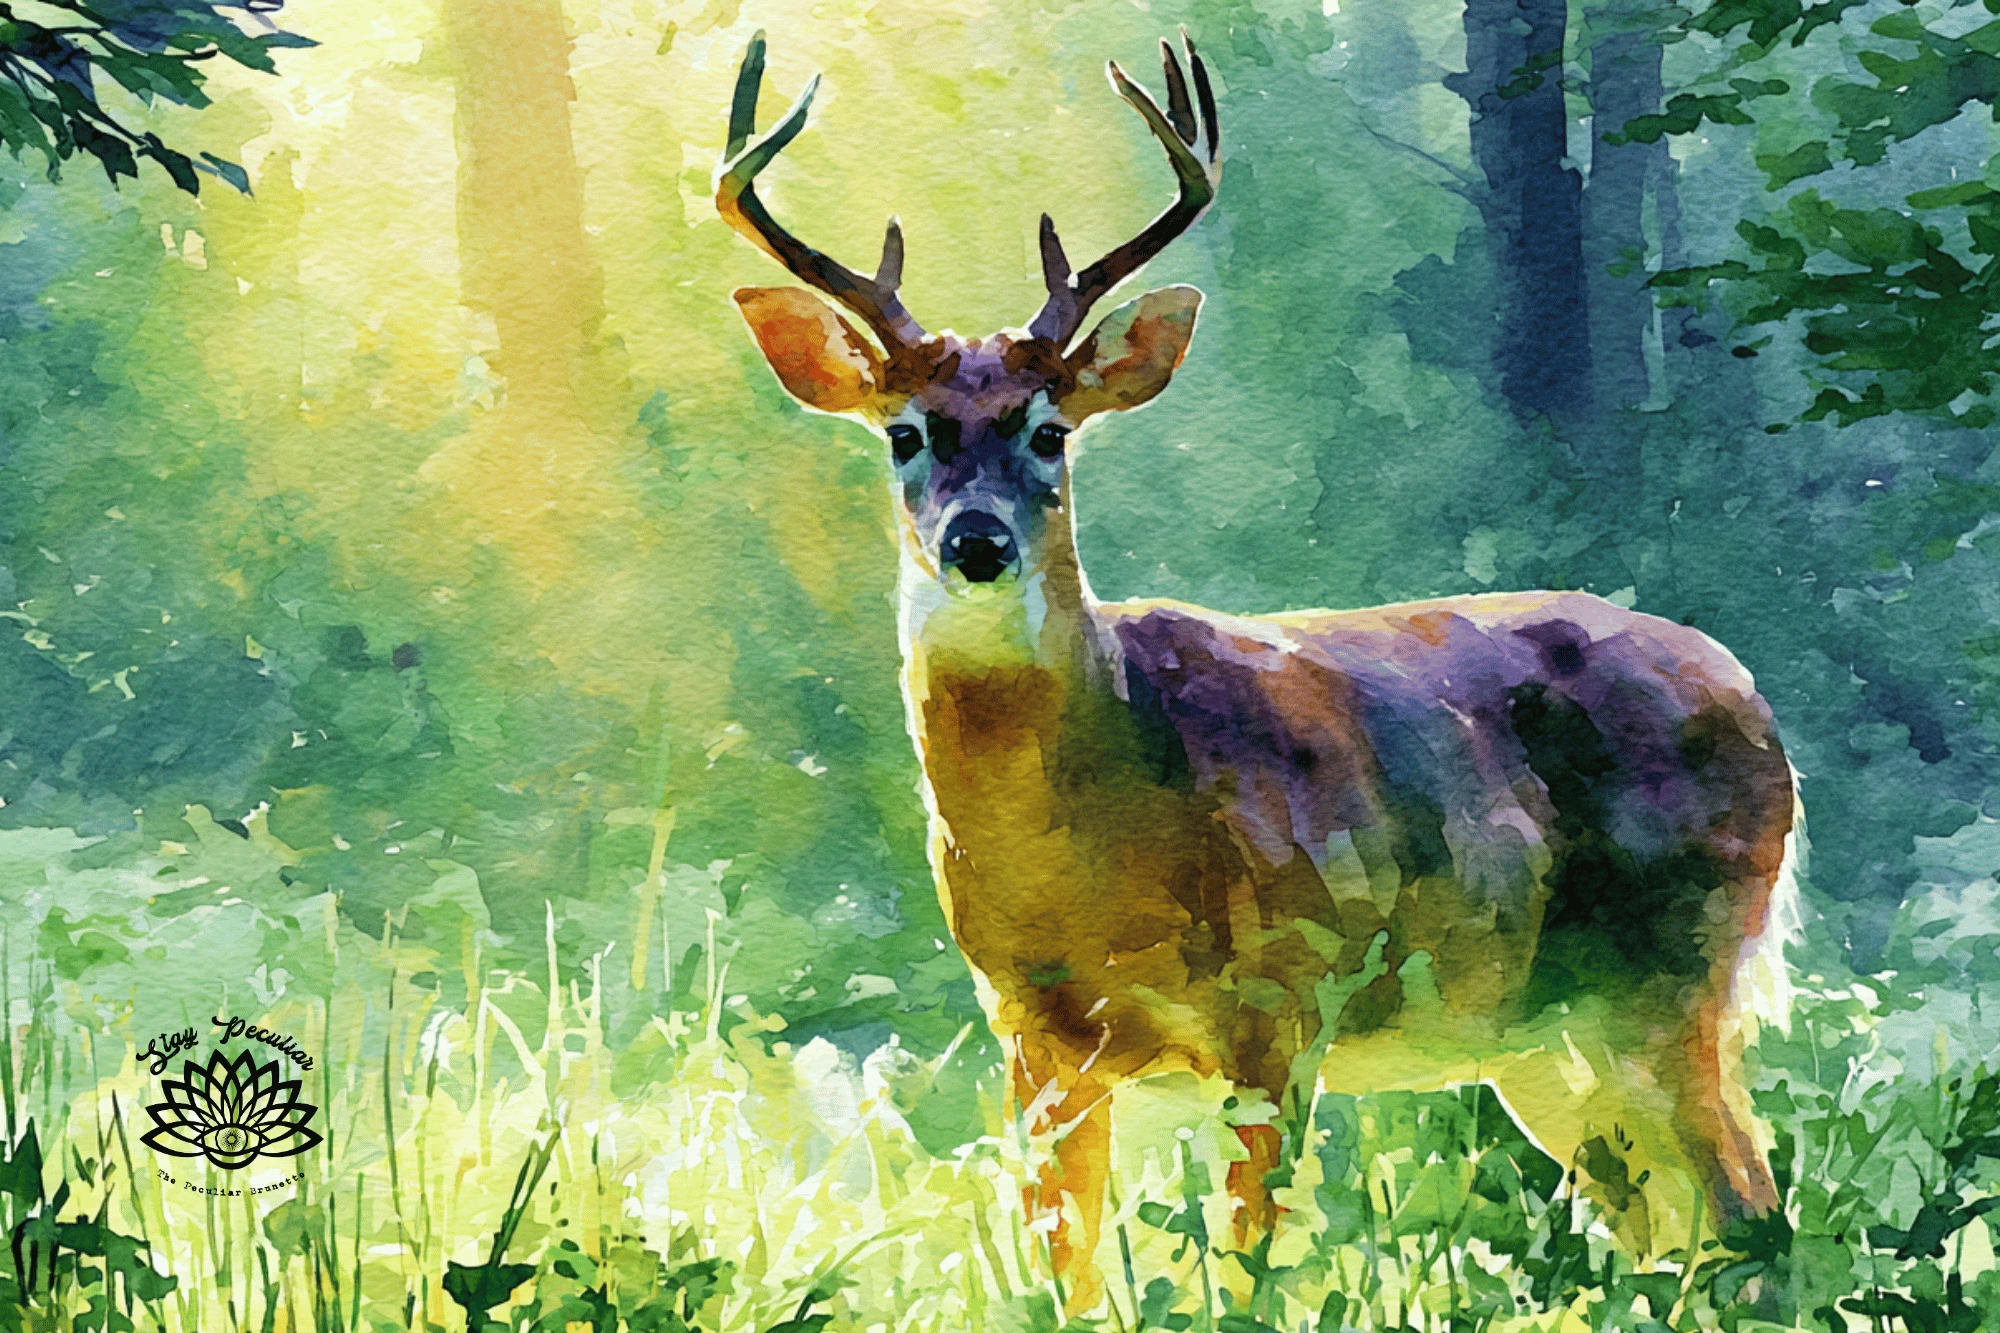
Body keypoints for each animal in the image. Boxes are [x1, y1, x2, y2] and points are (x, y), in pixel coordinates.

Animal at [713, 30, 1801, 1314]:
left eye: (1048, 431)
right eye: (903, 434)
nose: (975, 541)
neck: (1095, 841)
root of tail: (1754, 697)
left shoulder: (1281, 1003)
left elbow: (1249, 1270)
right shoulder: (1028, 1030)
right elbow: (1070, 1275)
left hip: (1674, 974)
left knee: (1754, 1211)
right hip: (1543, 1037)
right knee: (1674, 1231)